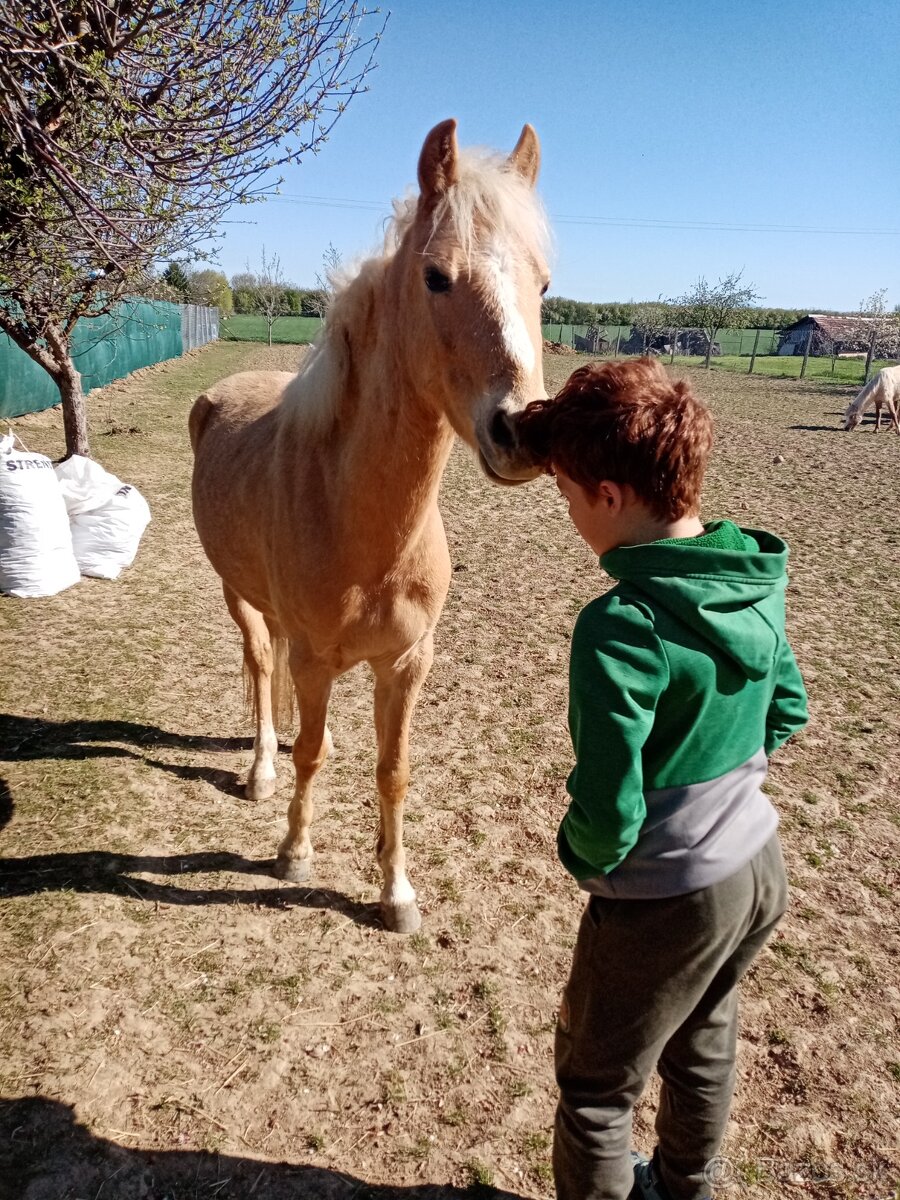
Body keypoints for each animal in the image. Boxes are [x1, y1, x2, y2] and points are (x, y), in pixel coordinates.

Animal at [189, 119, 550, 933]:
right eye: (437, 277)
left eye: (544, 284)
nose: (523, 428)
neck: (363, 525)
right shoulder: (317, 660)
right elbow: (313, 755)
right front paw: (295, 852)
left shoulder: (408, 664)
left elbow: (393, 771)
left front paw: (397, 892)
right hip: (236, 595)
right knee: (261, 663)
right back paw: (261, 767)